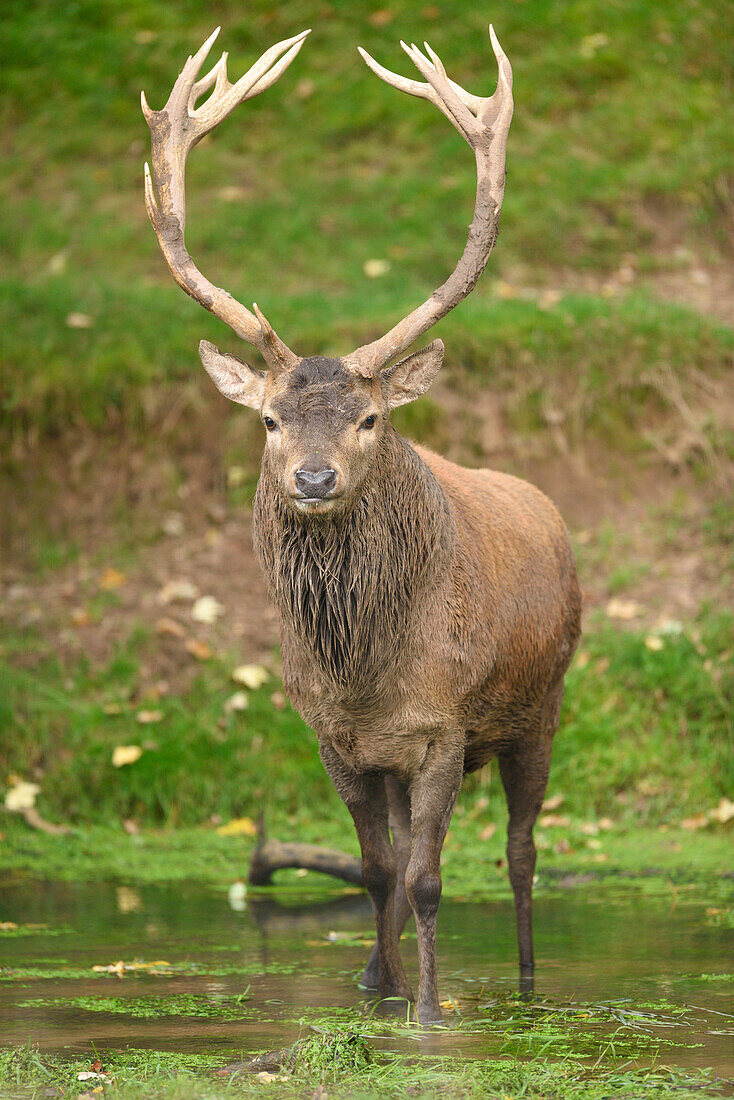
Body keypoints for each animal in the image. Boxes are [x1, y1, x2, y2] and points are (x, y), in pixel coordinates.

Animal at [141, 19, 581, 1029]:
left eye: (371, 419)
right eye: (269, 419)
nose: (313, 476)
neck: (365, 675)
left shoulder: (444, 727)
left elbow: (428, 879)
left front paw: (430, 1014)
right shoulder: (335, 739)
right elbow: (379, 872)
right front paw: (374, 992)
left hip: (540, 705)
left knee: (522, 853)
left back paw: (529, 983)